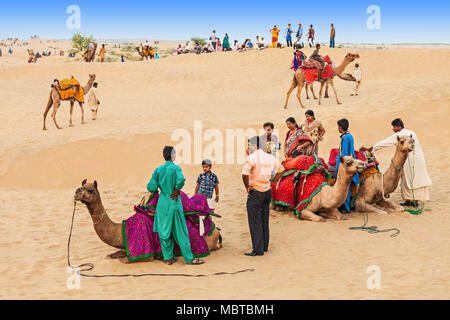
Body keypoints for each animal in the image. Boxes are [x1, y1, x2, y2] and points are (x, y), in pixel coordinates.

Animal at [74, 179, 223, 264]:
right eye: (82, 186)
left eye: (90, 190)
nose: (76, 191)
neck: (121, 231)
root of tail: (216, 230)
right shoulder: (124, 247)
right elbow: (109, 256)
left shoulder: (144, 255)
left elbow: (124, 260)